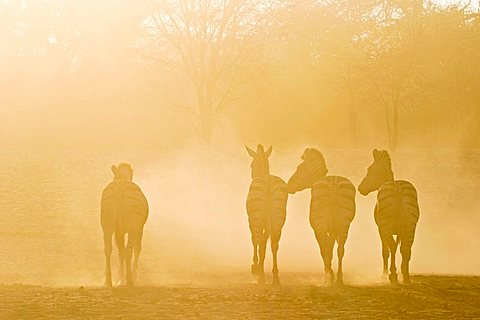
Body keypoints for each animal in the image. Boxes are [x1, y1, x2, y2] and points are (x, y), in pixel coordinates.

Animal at [246, 145, 286, 284]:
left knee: (258, 238)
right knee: (274, 245)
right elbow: (264, 243)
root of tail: (268, 181)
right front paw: (260, 267)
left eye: (251, 165)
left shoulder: (250, 220)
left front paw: (256, 265)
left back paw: (259, 272)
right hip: (278, 219)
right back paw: (275, 276)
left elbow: (255, 240)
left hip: (257, 218)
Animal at [284, 148, 356, 284]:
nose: (287, 187)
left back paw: (332, 276)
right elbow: (330, 248)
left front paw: (328, 273)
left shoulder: (317, 228)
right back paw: (339, 277)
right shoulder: (332, 230)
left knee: (325, 248)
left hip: (321, 224)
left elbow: (324, 249)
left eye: (299, 169)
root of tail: (333, 182)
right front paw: (330, 271)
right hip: (345, 224)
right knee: (341, 250)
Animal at [356, 149, 420, 284]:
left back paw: (393, 275)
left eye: (369, 170)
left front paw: (384, 273)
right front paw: (401, 269)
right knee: (406, 248)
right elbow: (400, 248)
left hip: (386, 225)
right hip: (411, 225)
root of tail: (397, 187)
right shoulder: (400, 230)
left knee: (392, 247)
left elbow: (385, 251)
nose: (360, 189)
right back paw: (406, 277)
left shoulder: (380, 229)